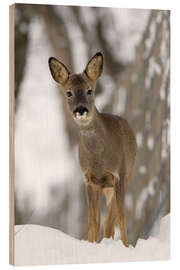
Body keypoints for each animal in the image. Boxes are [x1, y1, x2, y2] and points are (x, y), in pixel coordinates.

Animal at [48, 52, 136, 247]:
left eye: (90, 90)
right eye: (69, 92)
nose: (81, 109)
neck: (98, 159)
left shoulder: (119, 174)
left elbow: (121, 216)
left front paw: (126, 247)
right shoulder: (88, 180)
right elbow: (92, 221)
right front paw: (91, 245)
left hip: (126, 176)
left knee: (112, 218)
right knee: (105, 220)